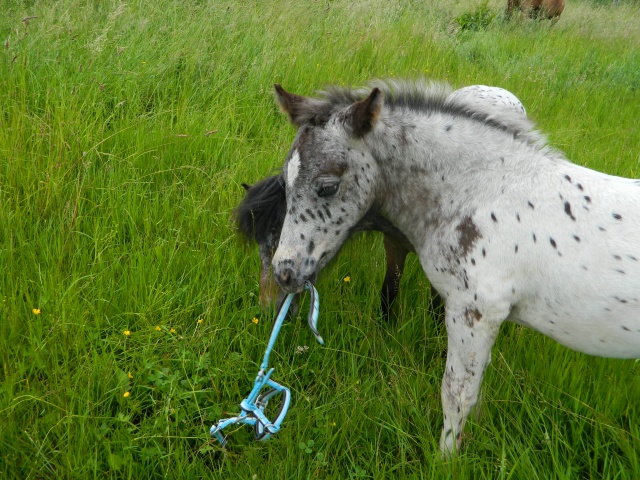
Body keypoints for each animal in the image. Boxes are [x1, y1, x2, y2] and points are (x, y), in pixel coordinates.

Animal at [268, 78, 640, 454]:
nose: (284, 271)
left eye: (327, 186)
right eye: (284, 182)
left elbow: (457, 393)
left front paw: (447, 457)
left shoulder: (475, 312)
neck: (487, 191)